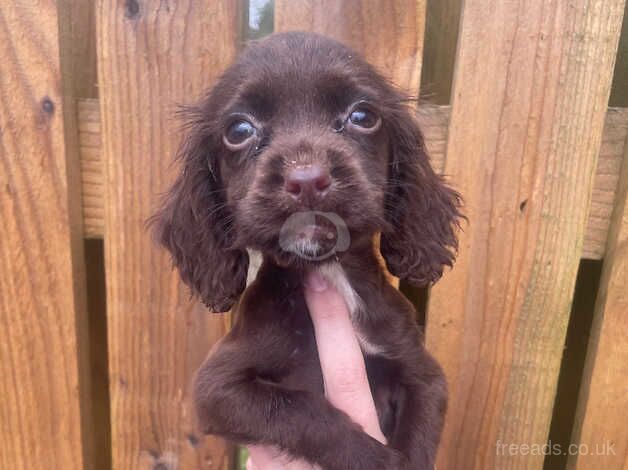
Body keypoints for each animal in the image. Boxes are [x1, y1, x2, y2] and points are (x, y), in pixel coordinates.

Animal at [152, 31, 462, 468]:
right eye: (239, 130)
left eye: (363, 116)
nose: (307, 179)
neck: (330, 271)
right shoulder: (216, 390)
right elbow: (302, 411)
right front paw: (378, 460)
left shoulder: (426, 376)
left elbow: (418, 440)